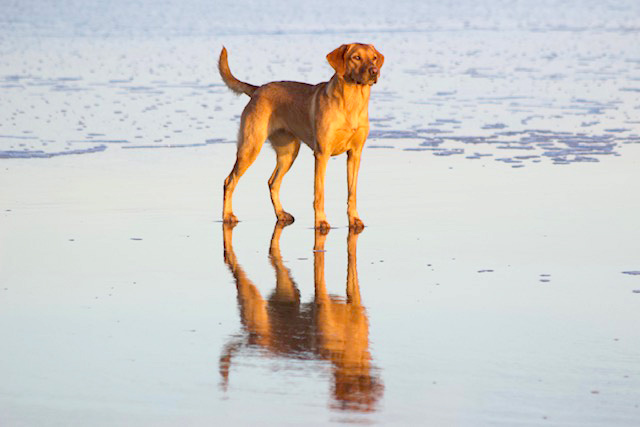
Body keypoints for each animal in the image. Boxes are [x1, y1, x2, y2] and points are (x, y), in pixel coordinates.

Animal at [219, 42, 384, 234]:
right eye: (356, 57)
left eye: (373, 58)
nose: (374, 71)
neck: (352, 102)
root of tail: (258, 89)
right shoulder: (322, 154)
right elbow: (319, 193)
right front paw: (321, 221)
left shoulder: (355, 154)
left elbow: (352, 192)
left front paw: (354, 219)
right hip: (250, 147)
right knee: (229, 181)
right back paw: (227, 216)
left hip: (289, 153)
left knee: (272, 182)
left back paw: (281, 214)